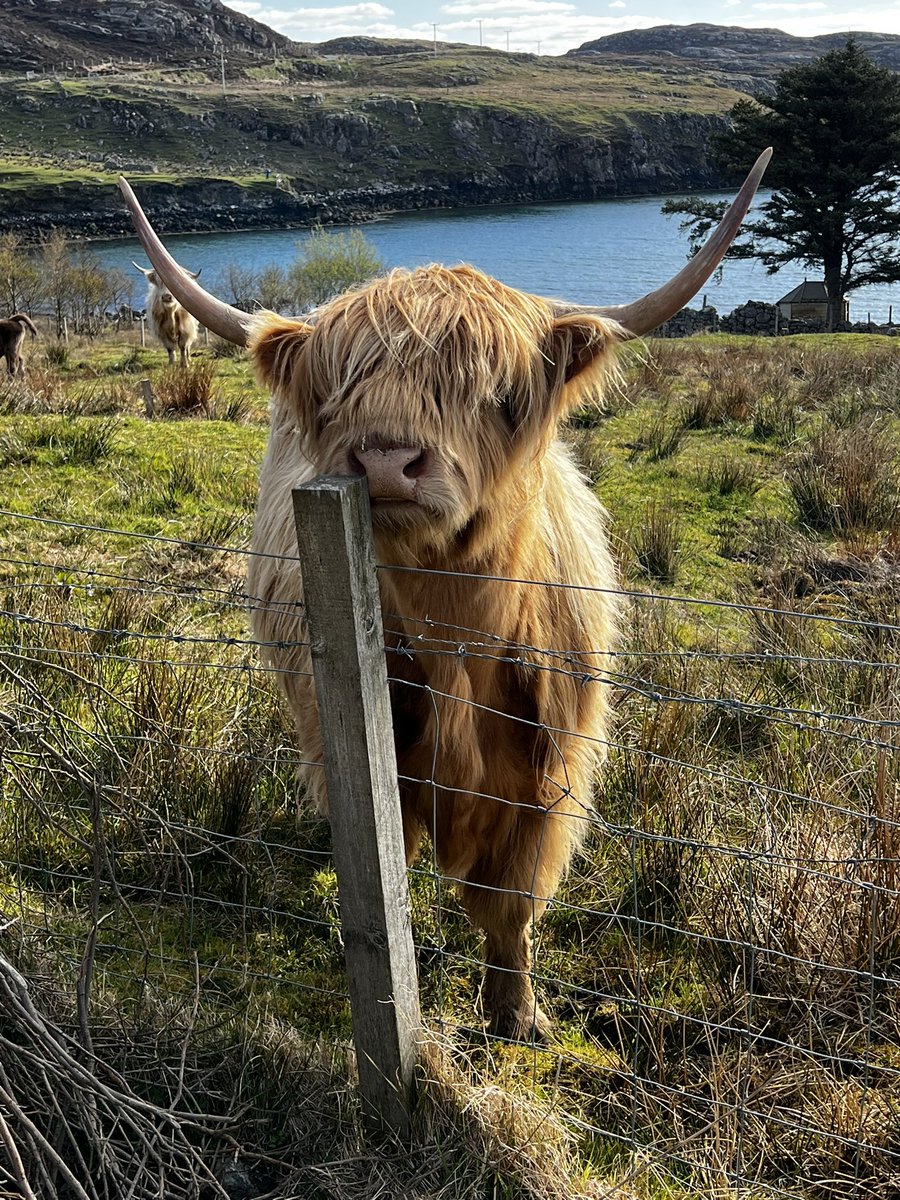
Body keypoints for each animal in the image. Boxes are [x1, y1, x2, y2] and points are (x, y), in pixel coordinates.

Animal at [119, 149, 770, 1040]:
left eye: (497, 395)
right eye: (340, 393)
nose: (386, 462)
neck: (460, 637)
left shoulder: (550, 774)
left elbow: (511, 905)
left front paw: (517, 1016)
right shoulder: (370, 756)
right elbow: (389, 870)